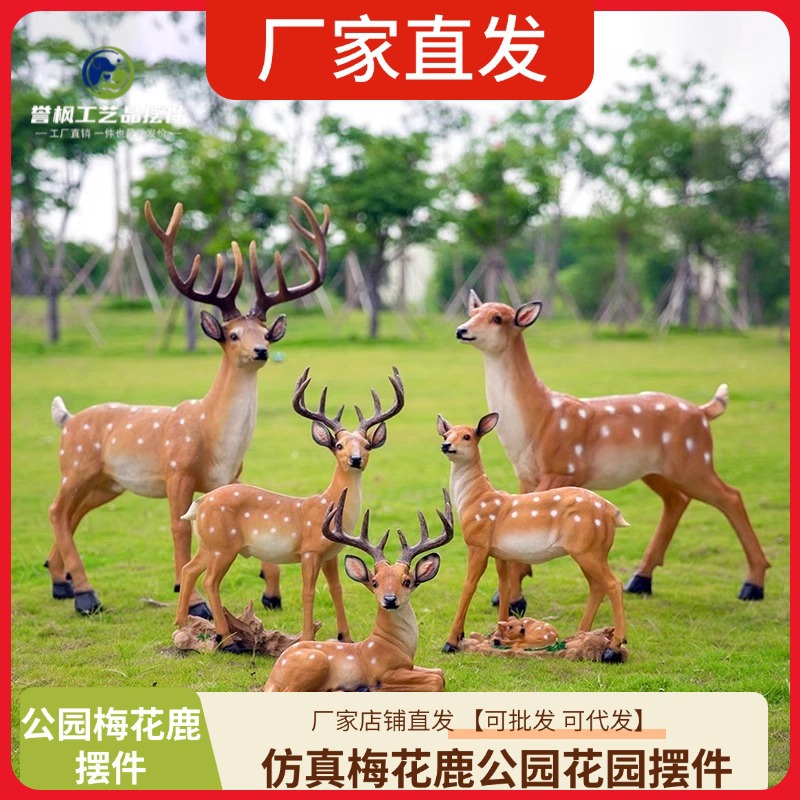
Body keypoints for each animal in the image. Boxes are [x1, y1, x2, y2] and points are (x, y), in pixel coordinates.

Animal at [46, 196, 329, 616]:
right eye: (232, 335)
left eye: (265, 334)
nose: (260, 351)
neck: (215, 440)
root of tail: (66, 420)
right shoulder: (176, 470)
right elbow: (180, 528)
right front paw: (193, 600)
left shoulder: (232, 477)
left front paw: (272, 593)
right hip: (75, 465)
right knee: (57, 510)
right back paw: (85, 594)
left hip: (108, 482)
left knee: (73, 514)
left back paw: (61, 583)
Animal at [175, 366, 406, 649]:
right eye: (339, 445)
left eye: (367, 445)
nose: (356, 459)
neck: (327, 505)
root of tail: (200, 504)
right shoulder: (309, 550)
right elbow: (308, 592)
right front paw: (306, 637)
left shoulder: (330, 555)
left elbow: (337, 590)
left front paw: (346, 637)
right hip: (223, 546)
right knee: (210, 581)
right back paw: (227, 640)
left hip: (209, 543)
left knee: (189, 570)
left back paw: (181, 625)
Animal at [264, 488, 453, 692]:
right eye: (375, 582)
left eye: (407, 581)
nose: (390, 599)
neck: (396, 647)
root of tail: (272, 677)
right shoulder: (382, 672)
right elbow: (436, 680)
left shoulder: (410, 665)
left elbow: (439, 672)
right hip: (315, 661)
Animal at [438, 412, 629, 663]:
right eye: (445, 434)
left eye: (467, 436)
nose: (446, 445)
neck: (475, 500)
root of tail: (612, 512)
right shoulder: (500, 552)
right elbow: (504, 586)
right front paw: (496, 636)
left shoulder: (477, 543)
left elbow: (469, 585)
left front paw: (451, 641)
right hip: (590, 551)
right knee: (597, 586)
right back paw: (578, 637)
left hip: (588, 549)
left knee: (613, 584)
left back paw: (614, 647)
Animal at [455, 291, 771, 607]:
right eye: (473, 312)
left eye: (498, 318)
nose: (461, 330)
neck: (537, 420)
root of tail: (704, 413)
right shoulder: (526, 474)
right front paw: (509, 595)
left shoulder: (564, 467)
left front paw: (514, 599)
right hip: (656, 471)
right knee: (677, 500)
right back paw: (640, 580)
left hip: (694, 461)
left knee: (731, 496)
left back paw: (752, 585)